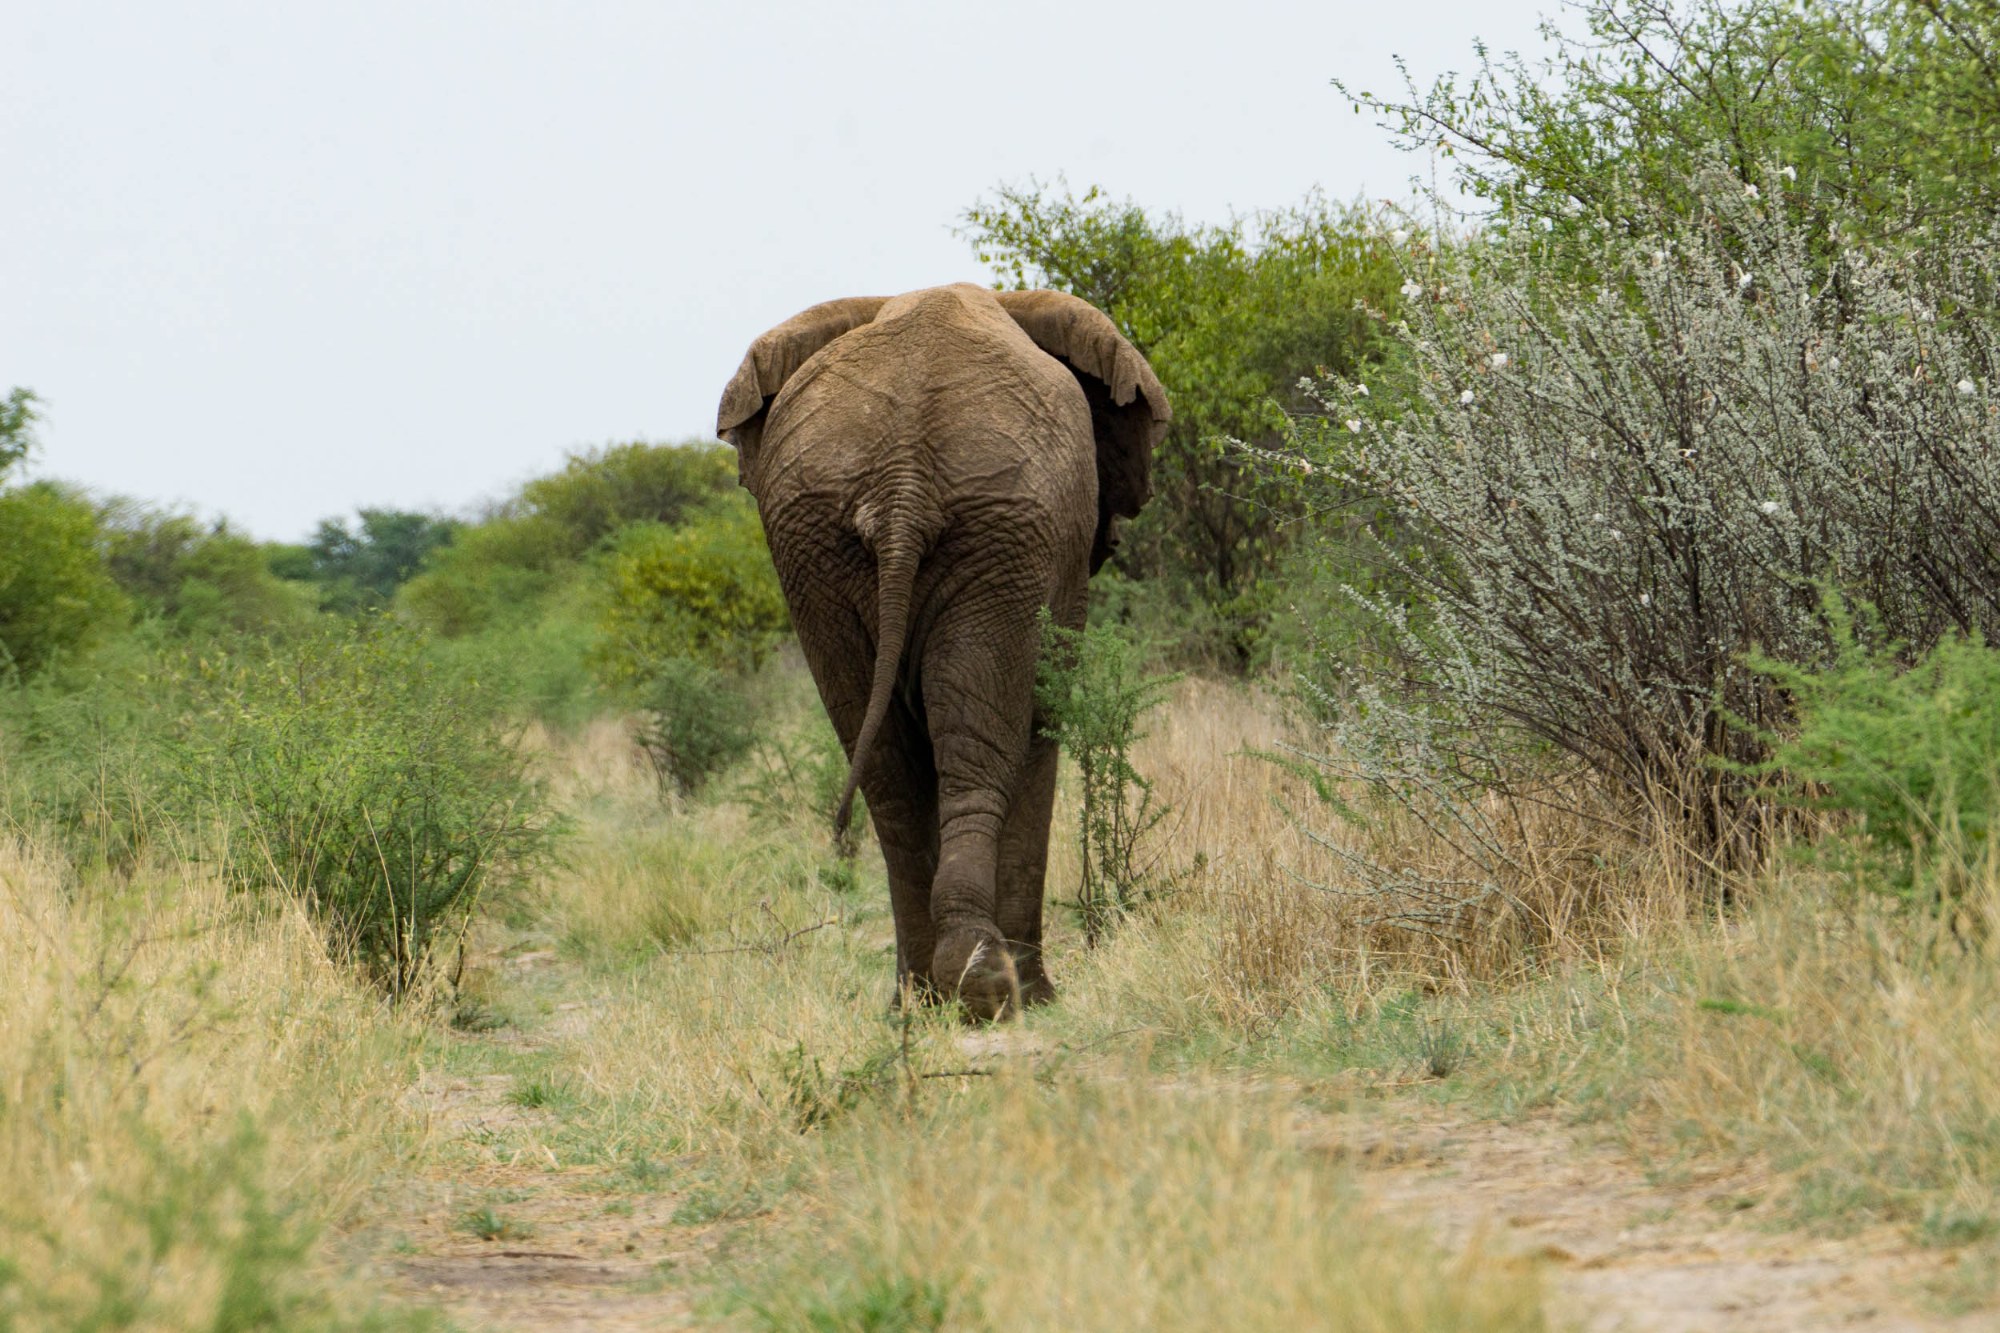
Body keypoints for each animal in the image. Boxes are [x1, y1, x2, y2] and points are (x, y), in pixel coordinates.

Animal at [715, 283, 1170, 1018]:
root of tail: (901, 486)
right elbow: (1042, 725)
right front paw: (1041, 998)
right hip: (1002, 532)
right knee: (981, 755)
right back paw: (991, 988)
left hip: (817, 547)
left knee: (888, 779)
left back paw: (919, 1000)